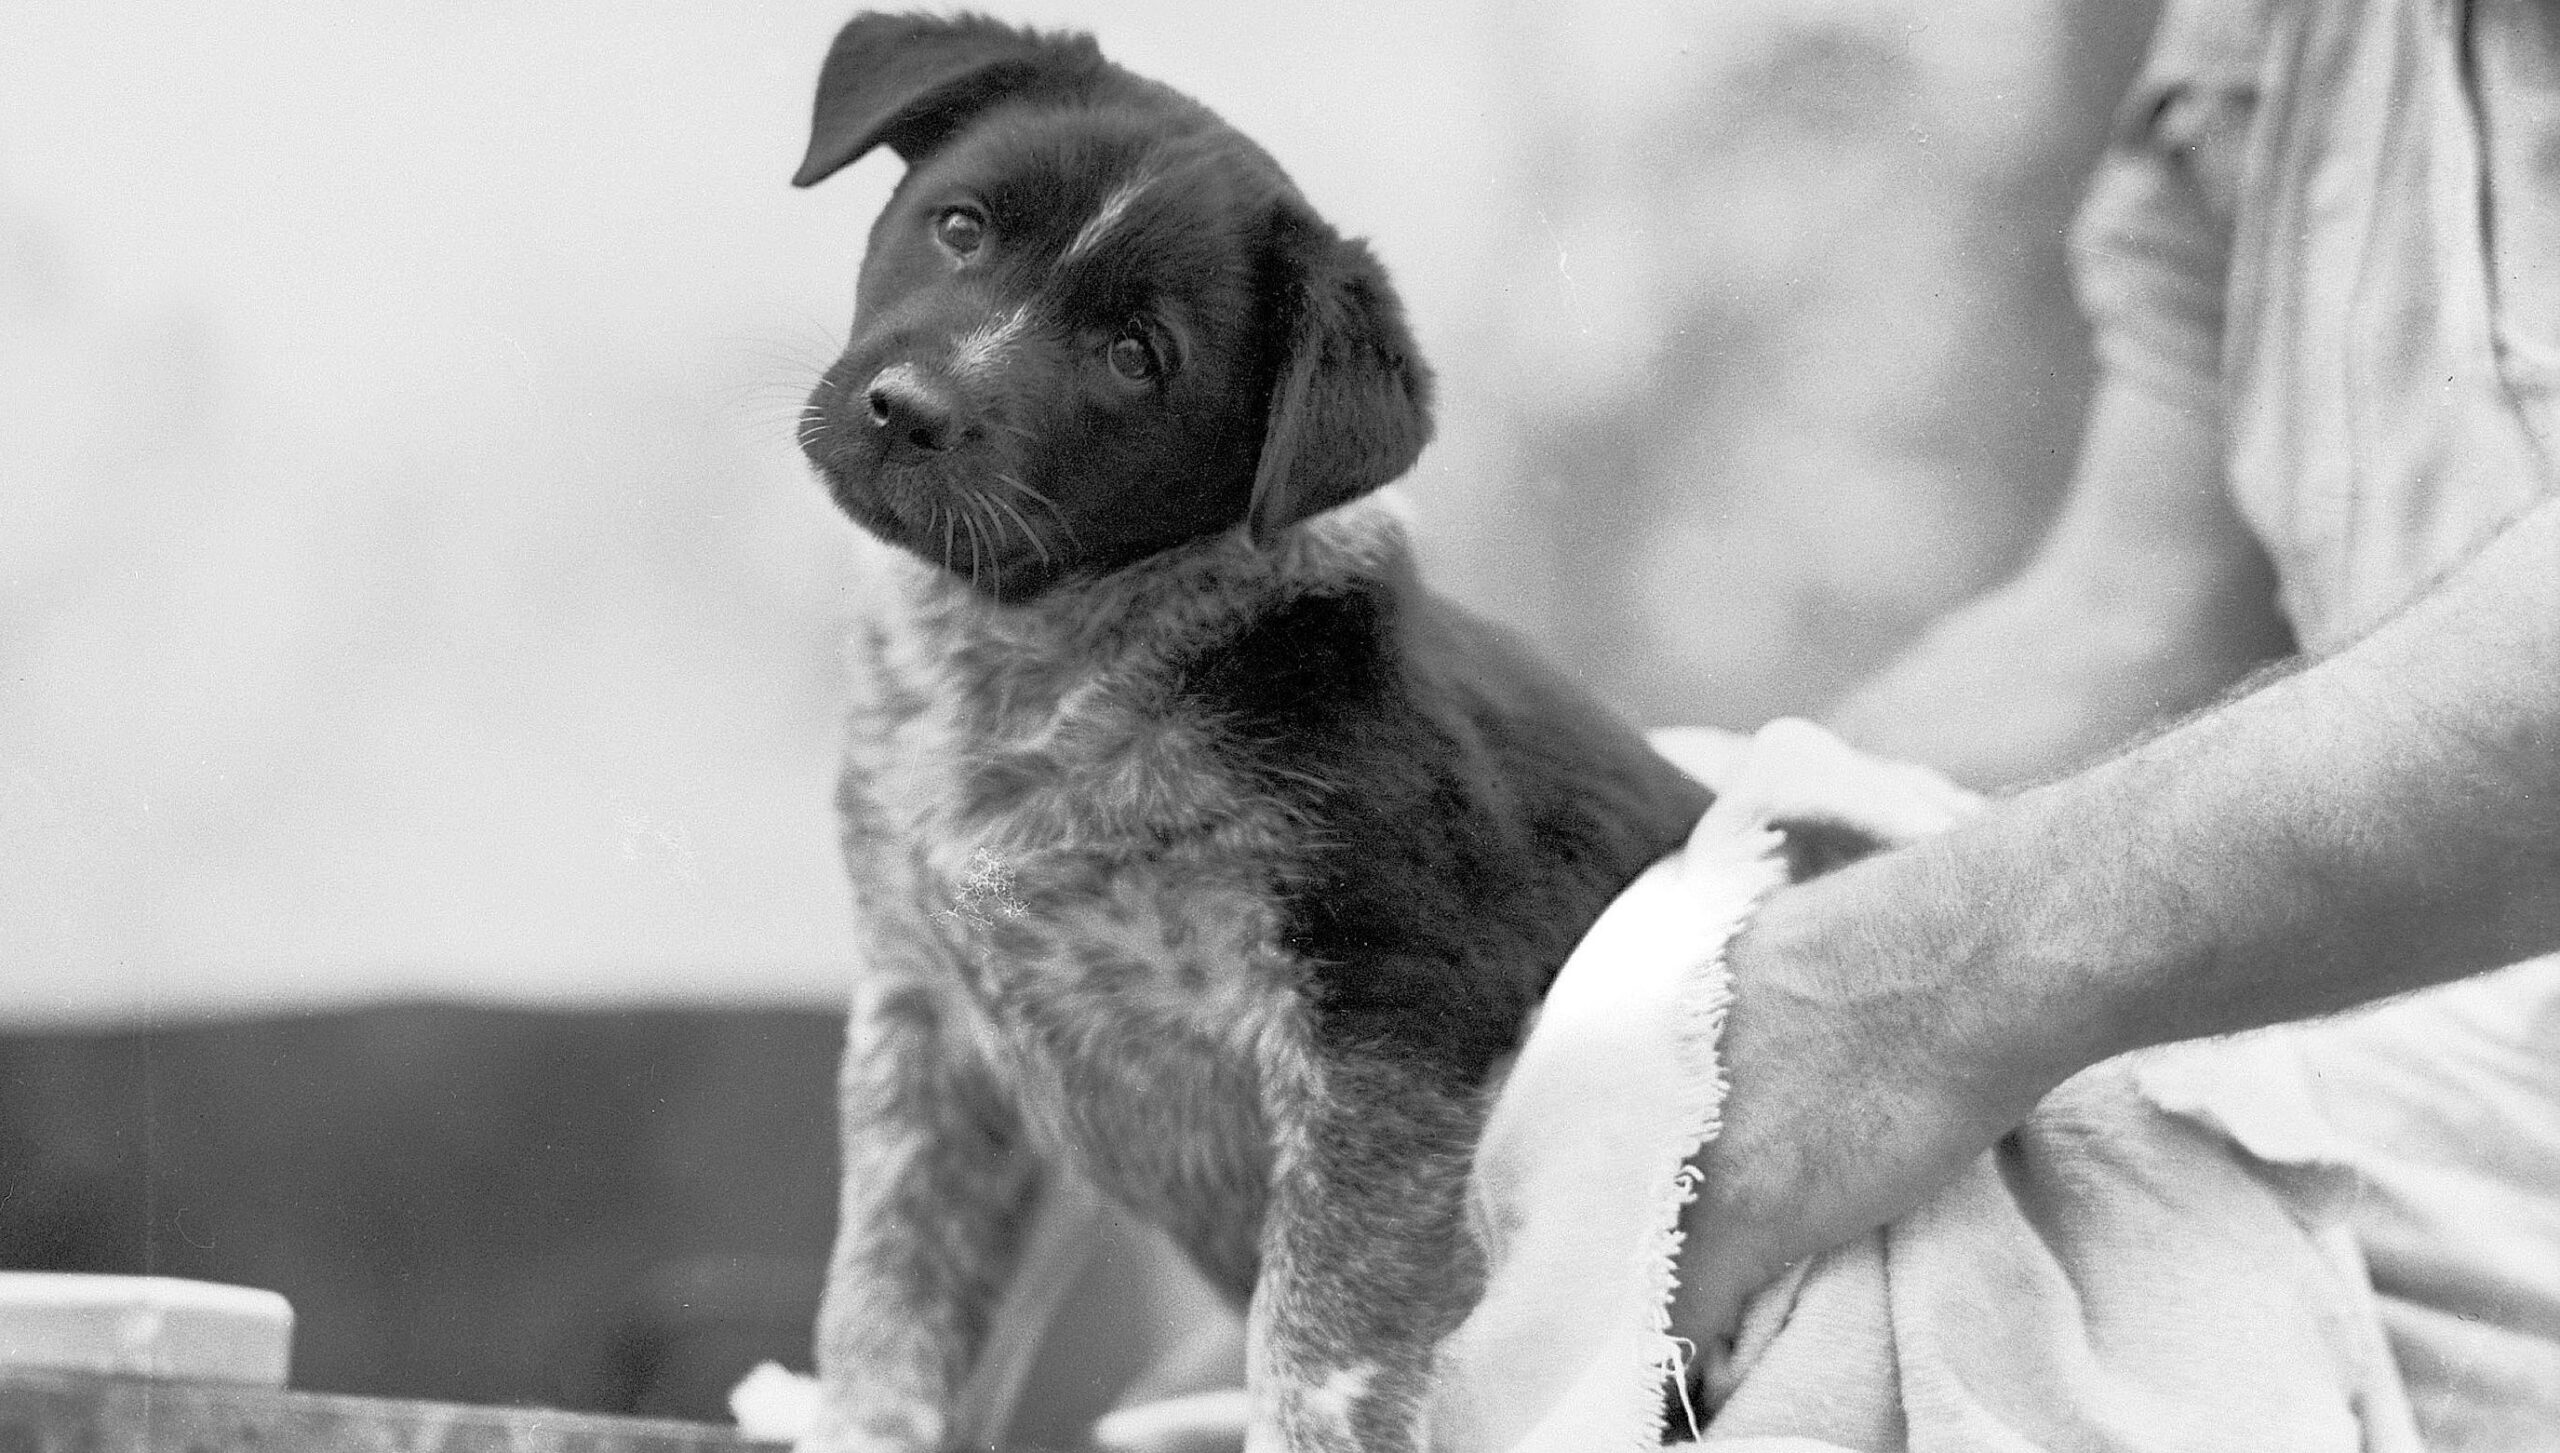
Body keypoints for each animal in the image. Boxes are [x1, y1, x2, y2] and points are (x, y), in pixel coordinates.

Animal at [793, 14, 1720, 1453]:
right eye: (958, 226)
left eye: (1136, 356)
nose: (905, 408)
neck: (1038, 669)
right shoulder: (930, 1026)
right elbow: (890, 1299)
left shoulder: (1386, 1023)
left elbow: (1320, 1341)